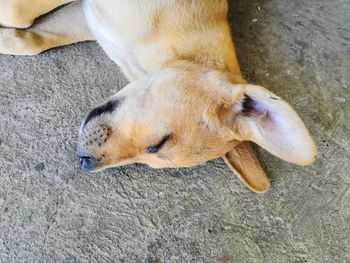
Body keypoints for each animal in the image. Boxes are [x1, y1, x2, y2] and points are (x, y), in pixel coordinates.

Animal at [0, 0, 318, 194]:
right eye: (159, 142)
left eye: (154, 151)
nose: (84, 162)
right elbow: (17, 14)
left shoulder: (90, 17)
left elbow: (29, 37)